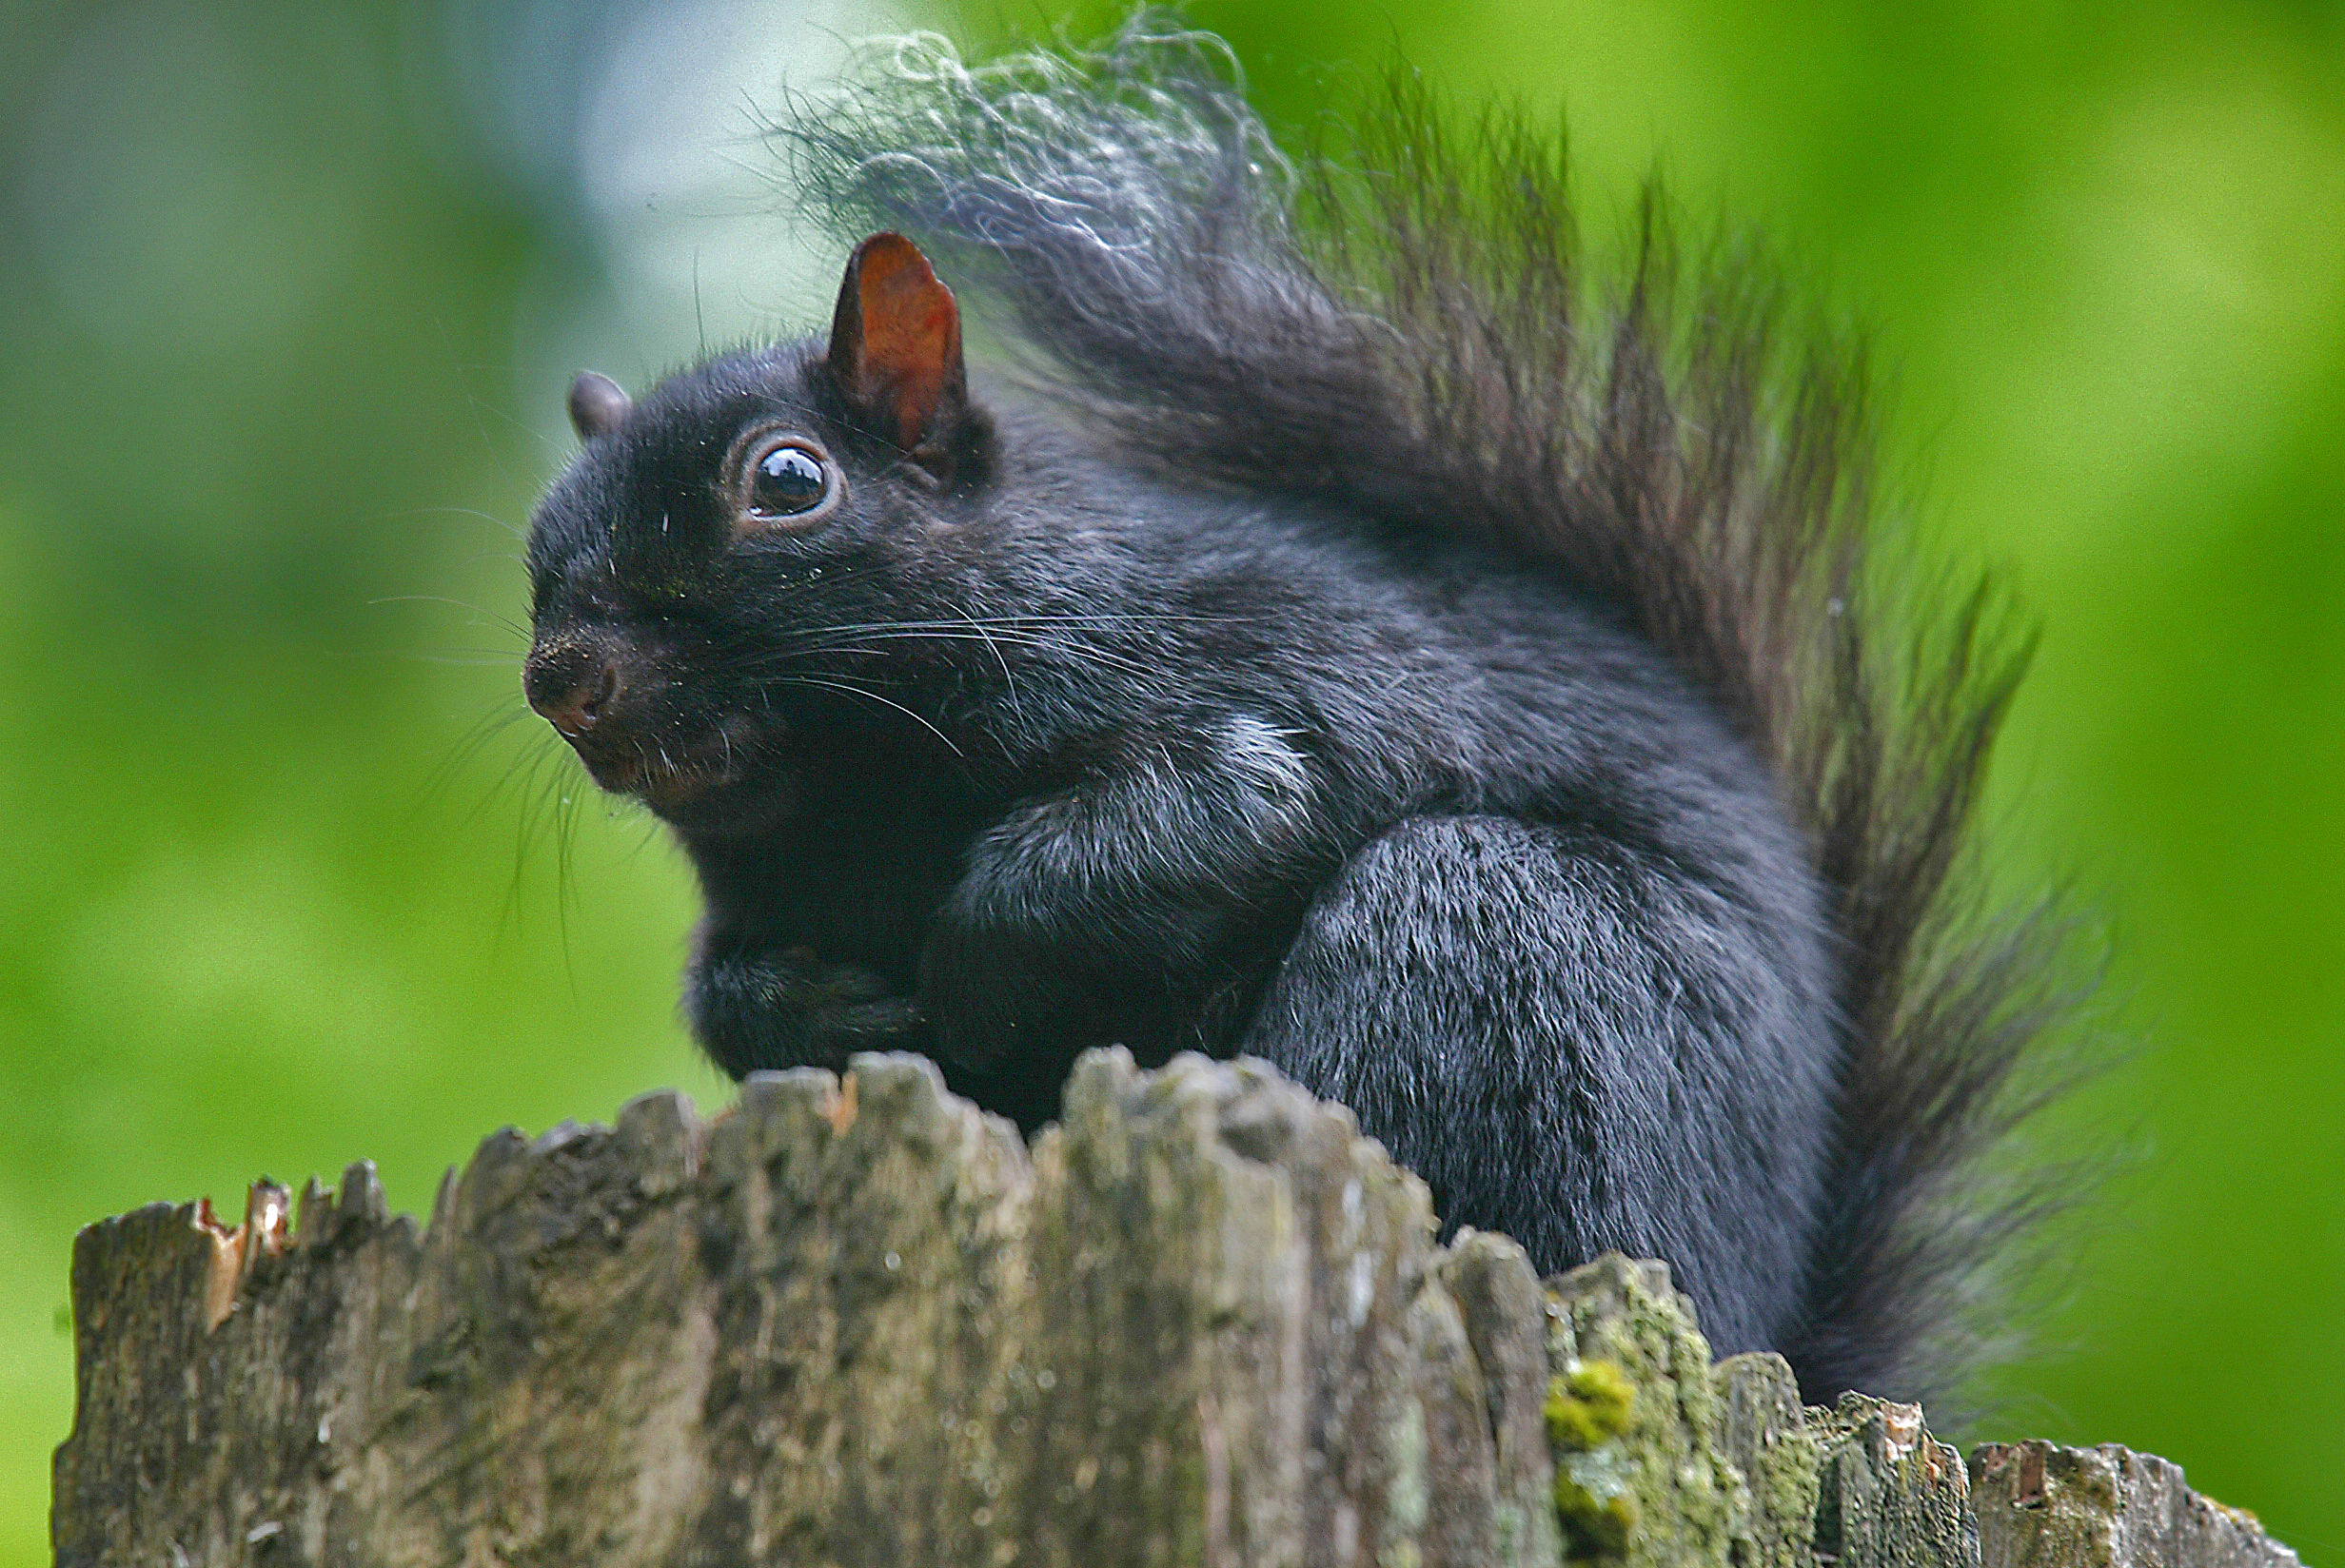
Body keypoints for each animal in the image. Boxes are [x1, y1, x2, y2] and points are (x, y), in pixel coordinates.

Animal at [521, 18, 2069, 1407]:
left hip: (1507, 948)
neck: (845, 811)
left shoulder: (1287, 668)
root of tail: (1770, 1331)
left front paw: (968, 972)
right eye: (537, 545)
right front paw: (823, 1013)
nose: (561, 676)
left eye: (787, 482)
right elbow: (721, 992)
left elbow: (1216, 815)